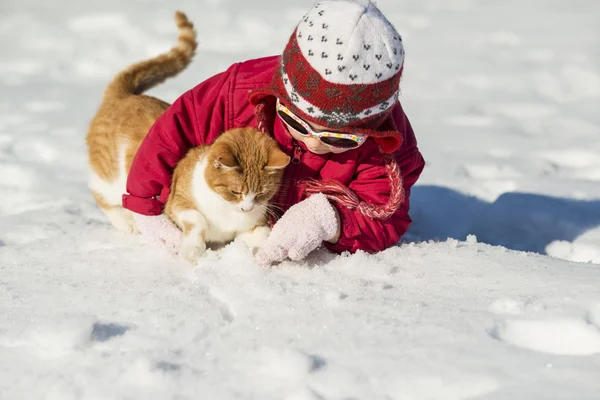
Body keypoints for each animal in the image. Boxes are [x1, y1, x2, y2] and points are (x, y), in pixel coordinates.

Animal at [164, 126, 290, 260]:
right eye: (235, 192)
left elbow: (258, 239)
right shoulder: (179, 201)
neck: (228, 207)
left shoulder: (253, 227)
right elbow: (197, 218)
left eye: (261, 194)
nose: (247, 209)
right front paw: (193, 249)